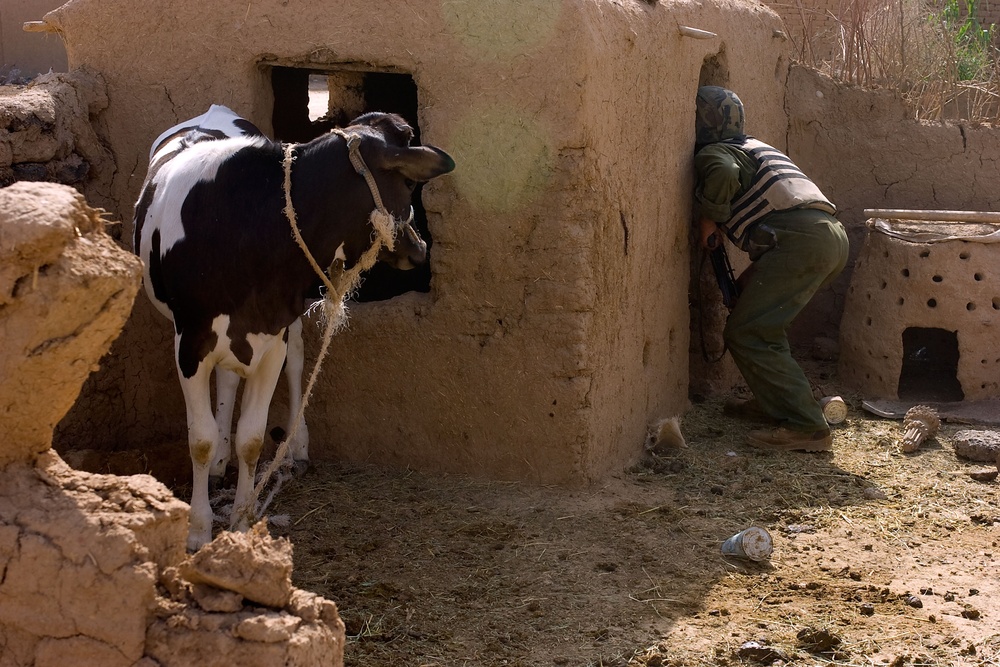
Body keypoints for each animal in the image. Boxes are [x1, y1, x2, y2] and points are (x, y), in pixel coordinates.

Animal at [133, 104, 454, 552]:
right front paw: (198, 529)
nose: (421, 247)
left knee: (292, 363)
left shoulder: (273, 340)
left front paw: (242, 520)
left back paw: (292, 446)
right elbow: (200, 439)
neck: (246, 227)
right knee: (226, 383)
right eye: (408, 182)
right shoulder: (189, 344)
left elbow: (252, 438)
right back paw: (218, 463)